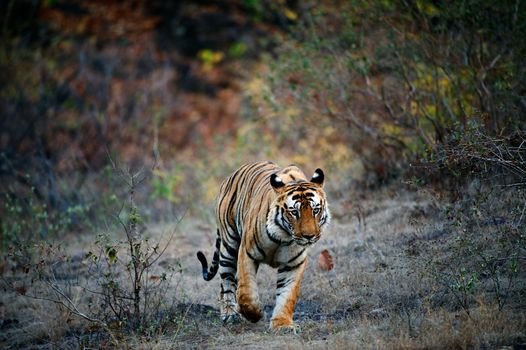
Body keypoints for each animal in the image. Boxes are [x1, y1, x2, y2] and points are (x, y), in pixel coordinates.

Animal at [196, 161, 332, 330]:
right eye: (294, 212)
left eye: (316, 210)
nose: (309, 236)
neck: (283, 237)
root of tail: (231, 176)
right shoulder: (247, 253)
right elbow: (246, 293)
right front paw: (255, 315)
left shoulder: (293, 264)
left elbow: (287, 295)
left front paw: (282, 324)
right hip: (229, 246)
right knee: (226, 282)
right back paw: (230, 315)